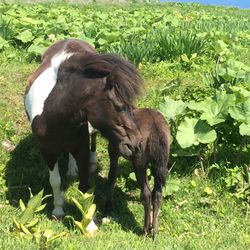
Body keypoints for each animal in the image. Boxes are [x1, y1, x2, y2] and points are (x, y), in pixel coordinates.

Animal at [104, 108, 171, 236]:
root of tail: (155, 127)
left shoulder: (113, 151)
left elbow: (111, 177)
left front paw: (108, 207)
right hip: (160, 162)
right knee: (157, 193)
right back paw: (154, 230)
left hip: (139, 162)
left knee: (147, 193)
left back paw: (145, 229)